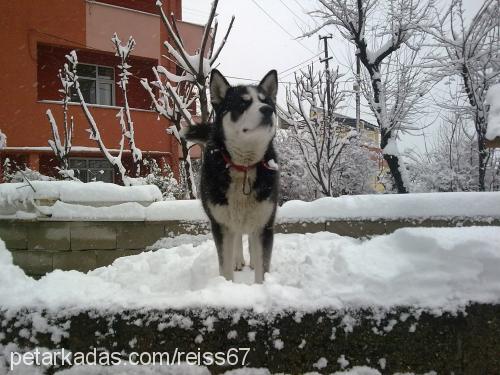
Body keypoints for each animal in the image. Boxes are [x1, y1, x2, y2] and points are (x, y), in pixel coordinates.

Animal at [181, 69, 282, 284]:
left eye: (266, 101)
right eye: (242, 103)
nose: (268, 110)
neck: (243, 166)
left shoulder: (264, 222)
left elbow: (262, 266)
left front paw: (260, 285)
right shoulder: (221, 224)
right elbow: (225, 266)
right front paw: (227, 284)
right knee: (237, 237)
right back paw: (238, 261)